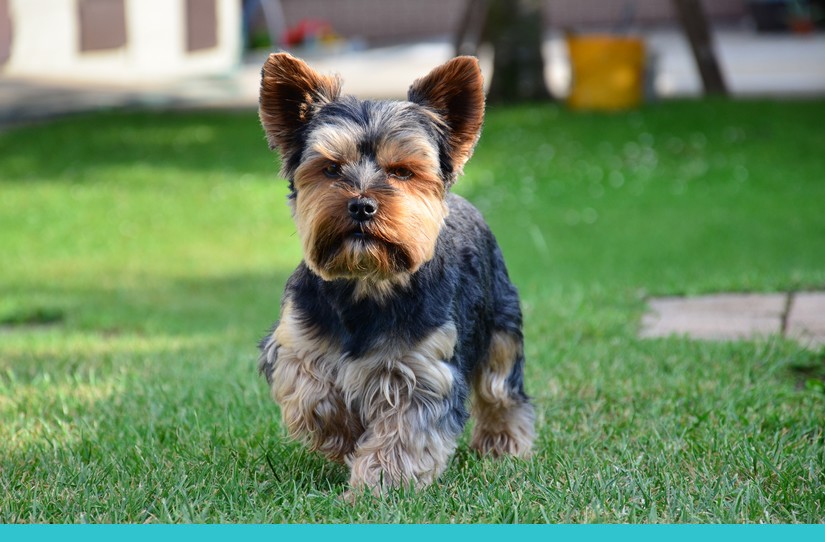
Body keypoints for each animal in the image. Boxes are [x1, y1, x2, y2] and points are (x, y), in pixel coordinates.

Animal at [258, 53, 536, 496]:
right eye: (331, 168)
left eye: (403, 171)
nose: (361, 205)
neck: (368, 282)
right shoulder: (295, 343)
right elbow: (312, 394)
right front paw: (345, 434)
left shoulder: (423, 367)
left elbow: (407, 430)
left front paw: (379, 486)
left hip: (501, 323)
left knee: (501, 388)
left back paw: (503, 444)